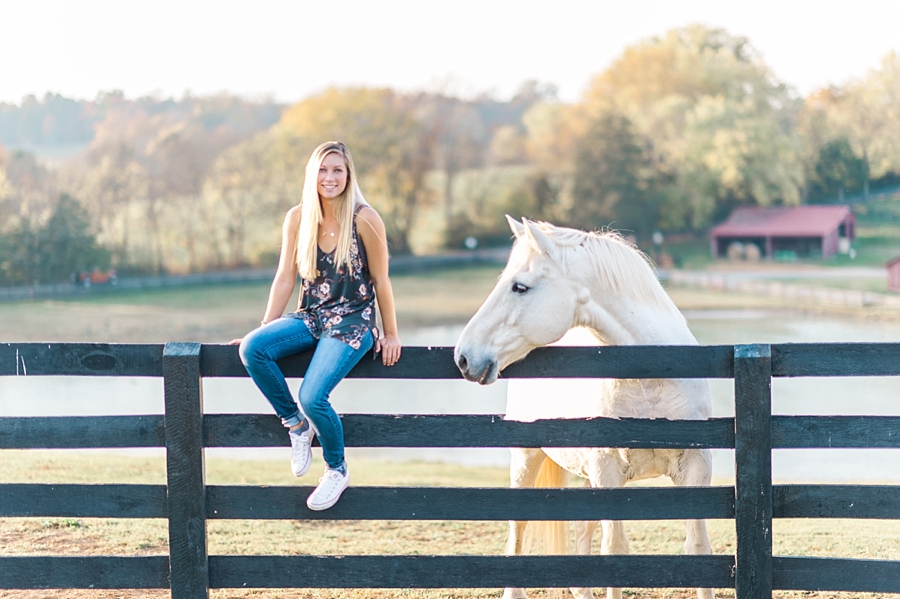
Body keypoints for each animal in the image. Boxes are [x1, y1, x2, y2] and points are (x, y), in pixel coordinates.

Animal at [458, 218, 716, 599]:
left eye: (520, 287)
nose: (463, 357)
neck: (652, 379)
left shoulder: (695, 467)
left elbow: (697, 547)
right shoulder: (607, 470)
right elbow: (614, 549)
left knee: (581, 528)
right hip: (526, 457)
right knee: (518, 526)